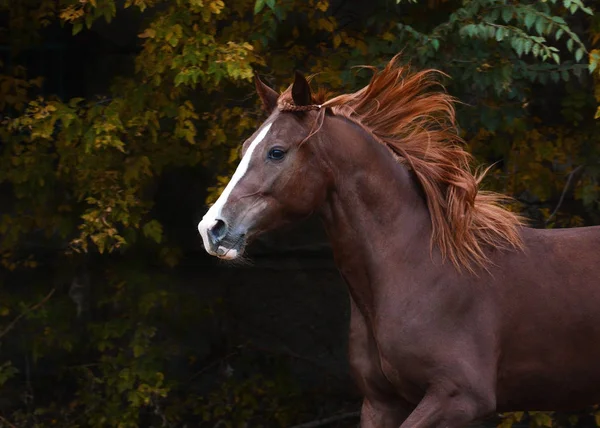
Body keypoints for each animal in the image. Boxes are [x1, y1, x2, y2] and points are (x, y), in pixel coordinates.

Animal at [199, 55, 600, 426]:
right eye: (244, 149)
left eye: (277, 151)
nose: (212, 228)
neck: (417, 268)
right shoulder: (381, 403)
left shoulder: (459, 397)